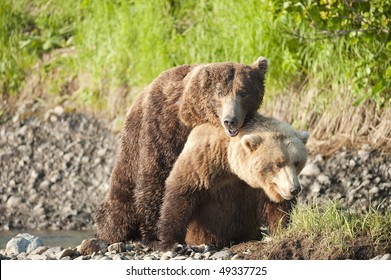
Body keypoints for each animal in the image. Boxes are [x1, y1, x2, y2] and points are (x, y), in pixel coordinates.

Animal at [96, 57, 272, 245]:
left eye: (243, 92)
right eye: (220, 93)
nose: (230, 120)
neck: (190, 116)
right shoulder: (163, 129)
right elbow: (158, 177)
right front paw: (154, 234)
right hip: (129, 154)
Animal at [157, 114, 310, 249]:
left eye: (297, 162)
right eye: (278, 164)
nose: (294, 189)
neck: (231, 165)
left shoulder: (261, 189)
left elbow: (277, 208)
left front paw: (281, 229)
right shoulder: (204, 161)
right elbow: (182, 193)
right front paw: (172, 243)